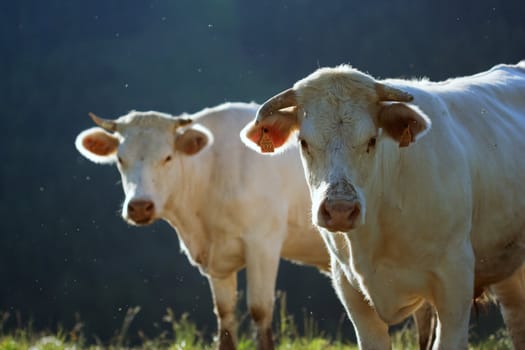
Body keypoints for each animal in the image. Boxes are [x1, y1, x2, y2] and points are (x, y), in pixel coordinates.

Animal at [73, 103, 330, 350]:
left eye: (168, 157)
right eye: (120, 159)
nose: (139, 206)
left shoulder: (264, 243)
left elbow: (260, 310)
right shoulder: (218, 262)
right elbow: (224, 314)